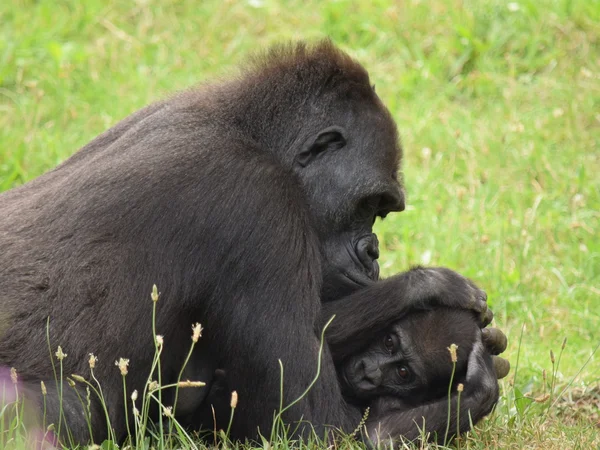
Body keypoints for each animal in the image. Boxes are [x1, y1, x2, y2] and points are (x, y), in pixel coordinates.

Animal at [0, 41, 490, 442]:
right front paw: (471, 386)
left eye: (382, 212)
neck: (246, 129)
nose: (373, 253)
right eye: (370, 205)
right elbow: (319, 428)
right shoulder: (261, 199)